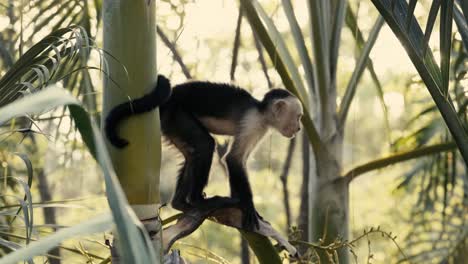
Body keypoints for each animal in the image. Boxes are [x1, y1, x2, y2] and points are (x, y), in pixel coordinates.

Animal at [105, 75, 304, 231]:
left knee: (192, 154)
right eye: (299, 117)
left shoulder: (259, 128)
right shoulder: (253, 122)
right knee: (205, 145)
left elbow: (238, 160)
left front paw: (240, 202)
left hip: (169, 123)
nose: (300, 128)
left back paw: (180, 203)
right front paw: (247, 206)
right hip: (177, 113)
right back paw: (197, 201)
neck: (261, 112)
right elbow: (233, 159)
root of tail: (170, 97)